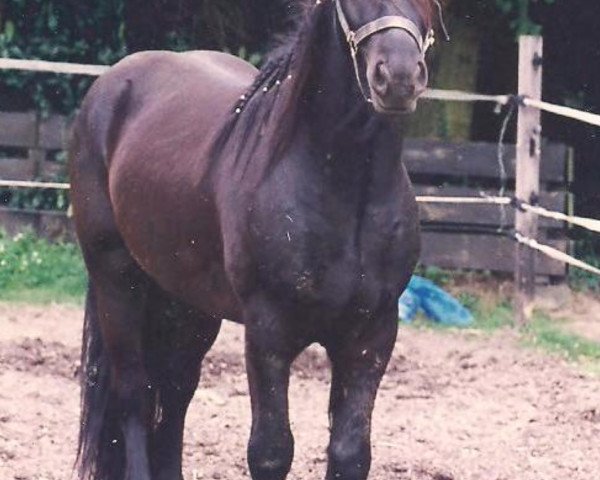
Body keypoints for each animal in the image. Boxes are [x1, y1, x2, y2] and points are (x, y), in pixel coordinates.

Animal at [70, 0, 432, 480]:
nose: (399, 76)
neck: (345, 185)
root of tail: (111, 86)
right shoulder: (268, 332)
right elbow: (271, 451)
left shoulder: (371, 334)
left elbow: (350, 452)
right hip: (117, 279)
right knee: (135, 394)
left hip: (188, 303)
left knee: (176, 393)